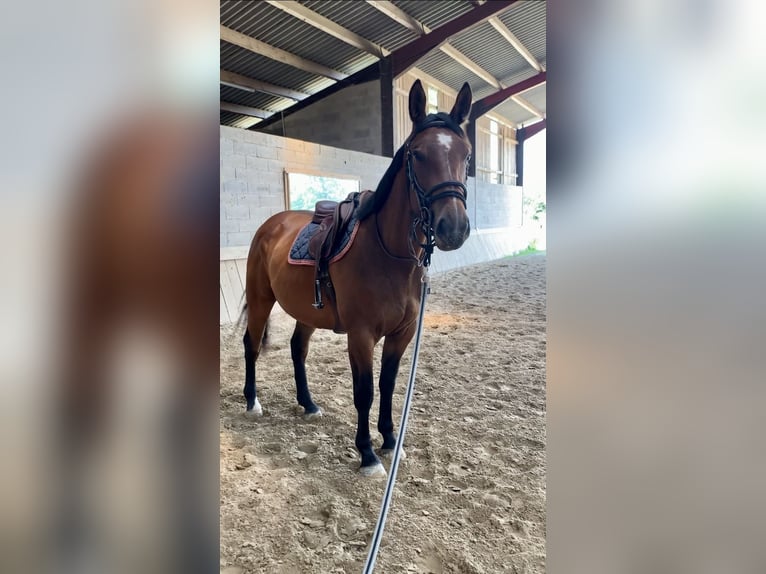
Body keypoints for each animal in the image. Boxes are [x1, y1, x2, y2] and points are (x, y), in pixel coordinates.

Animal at [243, 80, 473, 477]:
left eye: (467, 155)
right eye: (417, 154)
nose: (453, 228)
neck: (388, 254)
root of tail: (271, 224)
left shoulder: (402, 334)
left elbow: (388, 384)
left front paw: (391, 441)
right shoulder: (361, 334)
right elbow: (364, 391)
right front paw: (367, 454)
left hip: (306, 312)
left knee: (297, 349)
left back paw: (308, 404)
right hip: (260, 301)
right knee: (251, 345)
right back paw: (252, 402)